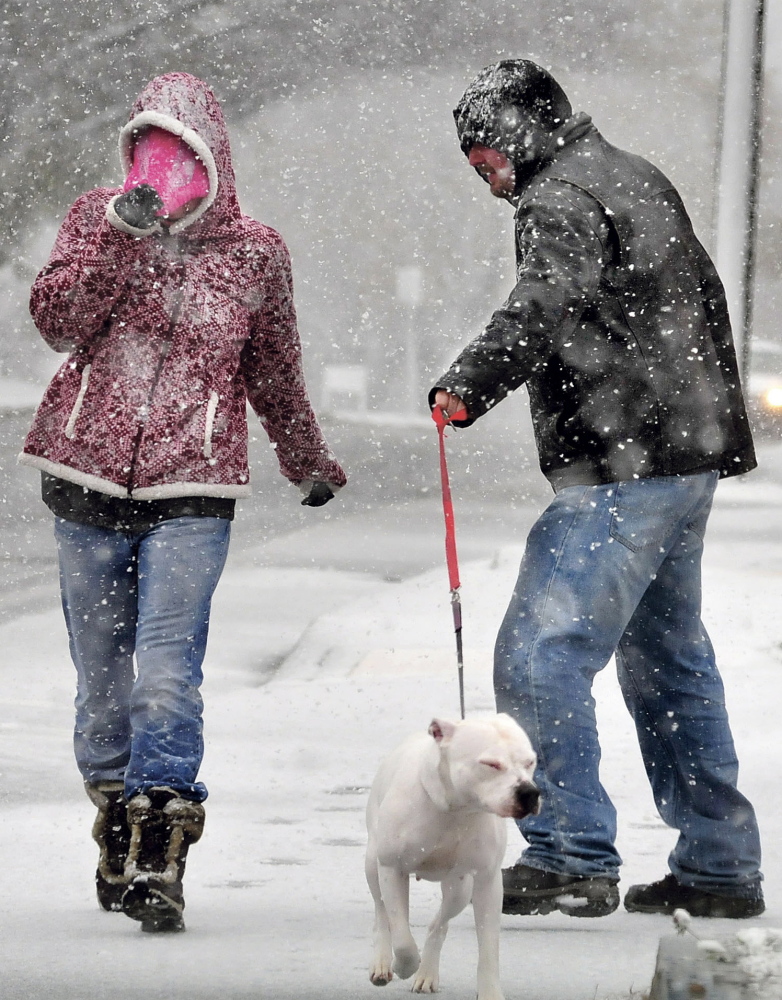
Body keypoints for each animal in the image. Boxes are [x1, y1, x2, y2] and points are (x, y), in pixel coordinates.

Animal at [366, 712, 540, 1000]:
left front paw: (490, 992)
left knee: (439, 924)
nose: (529, 792)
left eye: (530, 762)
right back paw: (382, 963)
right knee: (382, 913)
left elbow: (489, 947)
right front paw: (404, 965)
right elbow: (401, 936)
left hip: (459, 889)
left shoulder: (487, 881)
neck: (456, 811)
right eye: (491, 764)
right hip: (372, 864)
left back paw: (427, 973)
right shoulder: (392, 869)